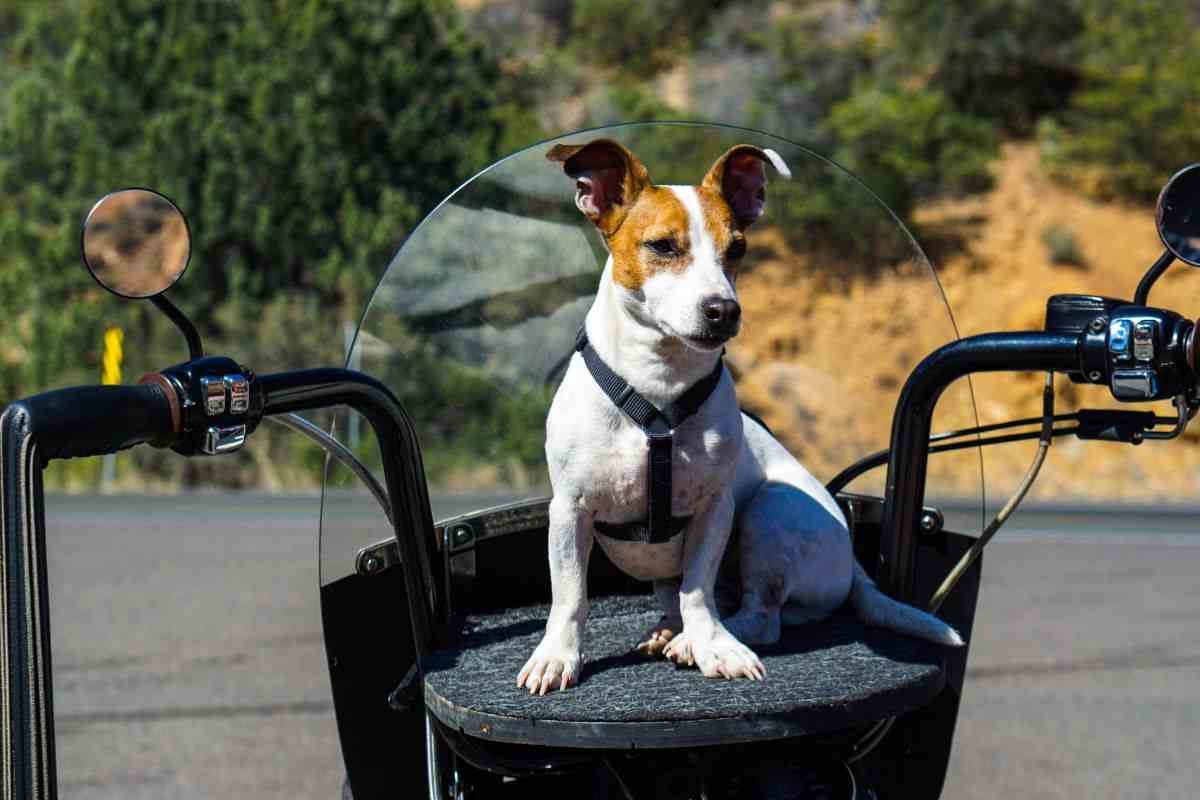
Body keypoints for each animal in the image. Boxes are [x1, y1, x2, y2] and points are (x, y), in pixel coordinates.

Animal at [511, 137, 960, 695]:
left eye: (738, 249)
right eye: (662, 246)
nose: (723, 310)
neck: (658, 388)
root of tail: (856, 566)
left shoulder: (714, 509)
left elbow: (698, 590)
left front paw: (712, 646)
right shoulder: (570, 511)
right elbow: (571, 594)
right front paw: (557, 656)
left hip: (770, 514)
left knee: (761, 615)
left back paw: (700, 638)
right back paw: (668, 631)